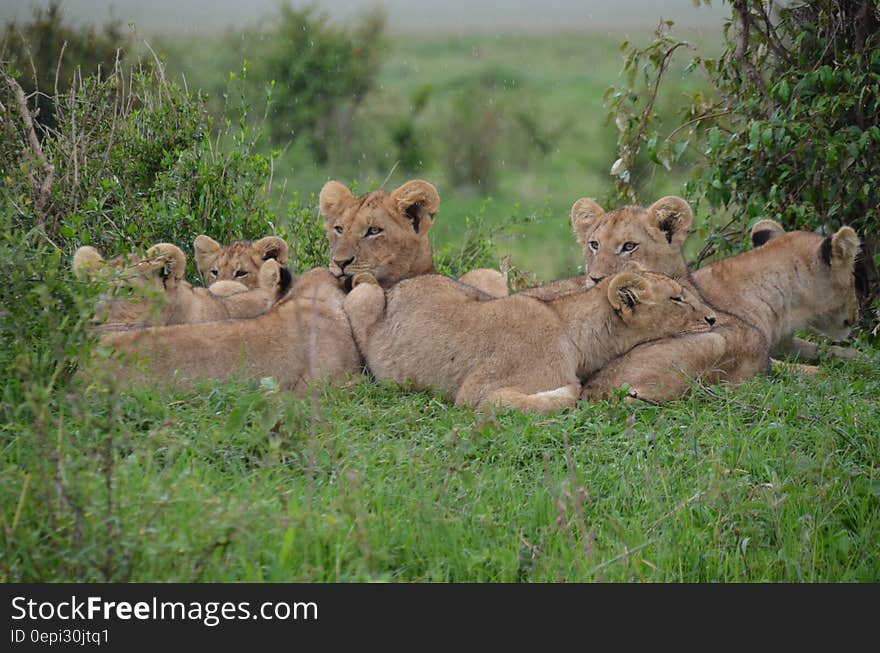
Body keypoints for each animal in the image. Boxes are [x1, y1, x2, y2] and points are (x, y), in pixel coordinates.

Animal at [340, 266, 720, 410]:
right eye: (677, 299)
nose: (713, 318)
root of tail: (395, 286)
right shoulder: (474, 394)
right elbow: (555, 398)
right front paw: (569, 391)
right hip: (361, 298)